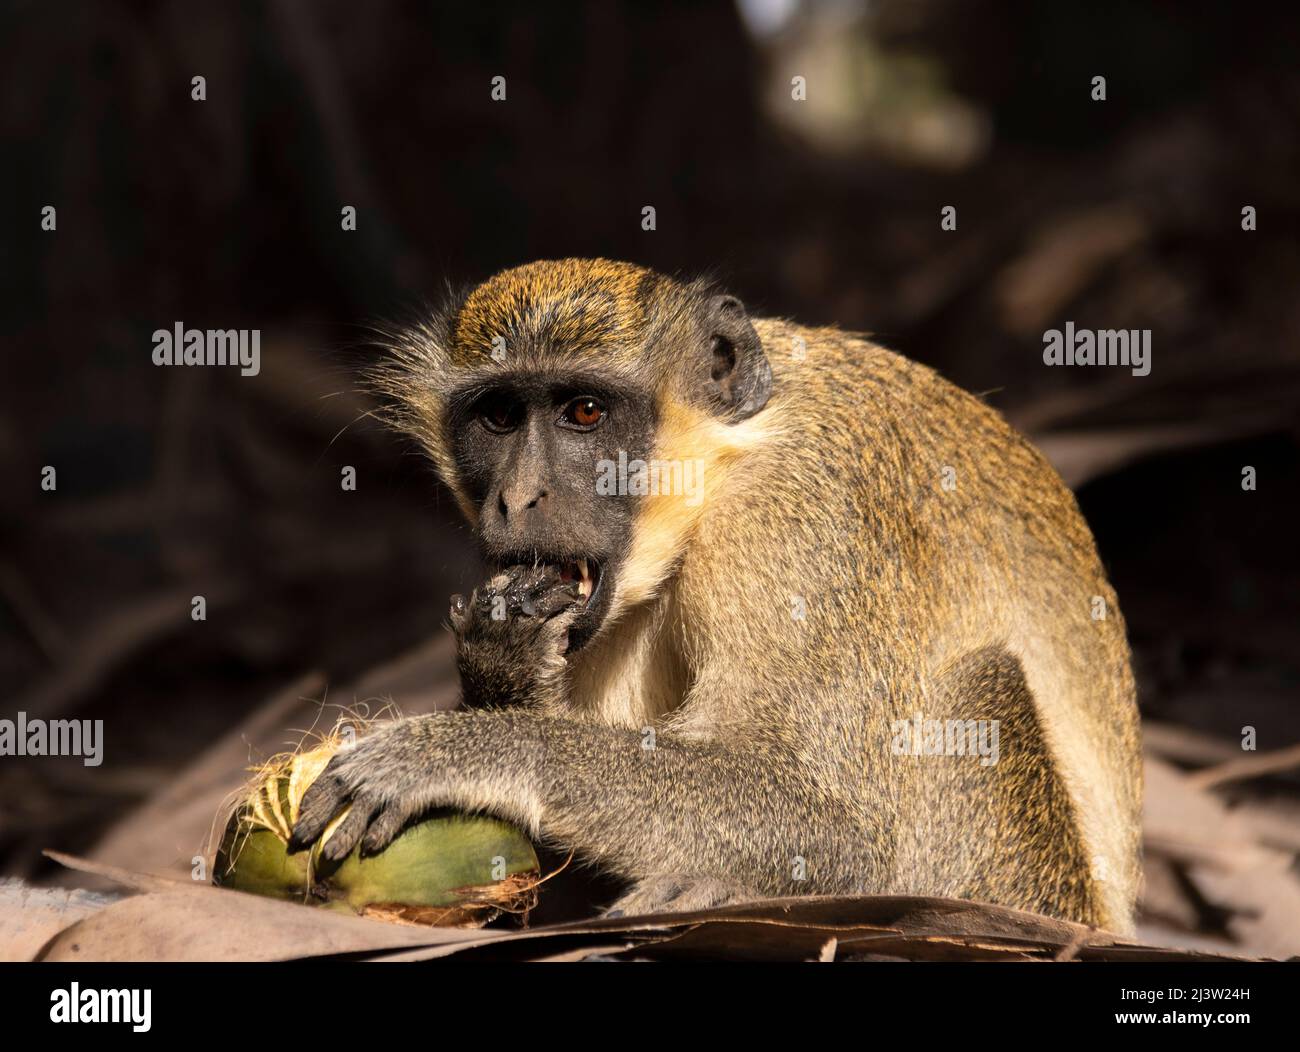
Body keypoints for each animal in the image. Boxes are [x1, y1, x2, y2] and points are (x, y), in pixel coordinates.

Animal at [288, 258, 1142, 933]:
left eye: (584, 413)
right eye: (498, 416)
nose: (518, 498)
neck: (725, 459)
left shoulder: (800, 523)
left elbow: (832, 825)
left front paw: (465, 747)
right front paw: (501, 673)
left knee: (978, 688)